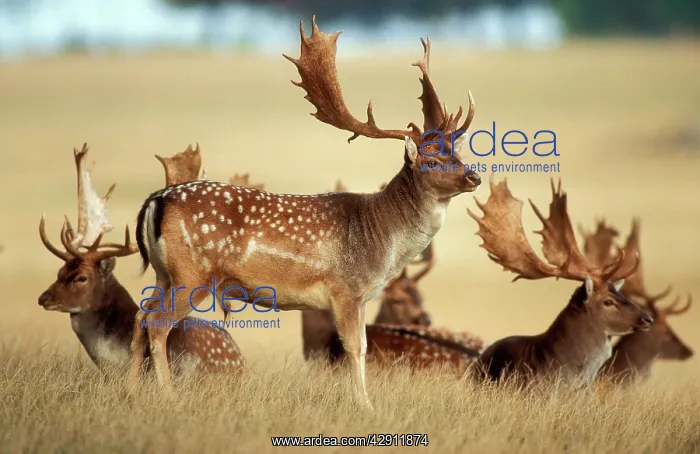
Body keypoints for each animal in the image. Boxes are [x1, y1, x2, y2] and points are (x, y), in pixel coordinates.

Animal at [129, 16, 482, 409]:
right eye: (431, 160)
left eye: (458, 153)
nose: (474, 176)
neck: (380, 236)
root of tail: (156, 200)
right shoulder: (346, 288)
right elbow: (356, 349)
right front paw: (366, 406)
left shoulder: (358, 296)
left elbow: (360, 346)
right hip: (194, 274)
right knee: (158, 323)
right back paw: (166, 394)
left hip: (165, 273)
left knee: (141, 315)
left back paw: (129, 389)